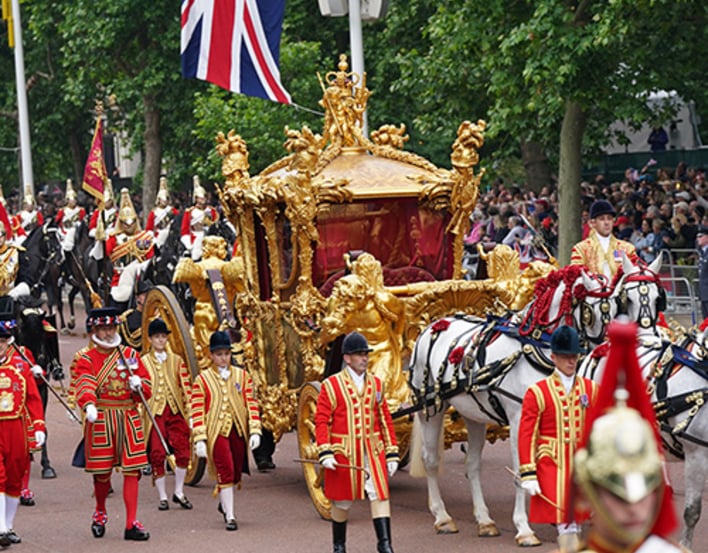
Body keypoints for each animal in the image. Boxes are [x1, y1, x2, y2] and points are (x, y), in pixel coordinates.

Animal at [410, 266, 612, 544]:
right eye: (592, 310)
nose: (606, 350)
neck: (535, 351)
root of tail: (431, 326)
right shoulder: (519, 419)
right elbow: (521, 471)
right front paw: (524, 528)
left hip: (474, 415)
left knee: (472, 465)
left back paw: (484, 520)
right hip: (430, 410)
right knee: (430, 460)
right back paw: (442, 517)